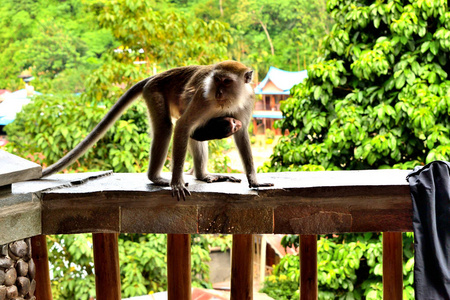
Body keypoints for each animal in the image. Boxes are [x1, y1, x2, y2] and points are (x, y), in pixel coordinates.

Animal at [42, 60, 272, 202]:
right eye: (216, 80)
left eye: (227, 81)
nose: (218, 92)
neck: (227, 100)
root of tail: (156, 76)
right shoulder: (204, 97)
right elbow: (183, 126)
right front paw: (176, 182)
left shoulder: (247, 101)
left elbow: (240, 136)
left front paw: (254, 181)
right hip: (154, 92)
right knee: (166, 128)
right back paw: (156, 178)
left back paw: (203, 175)